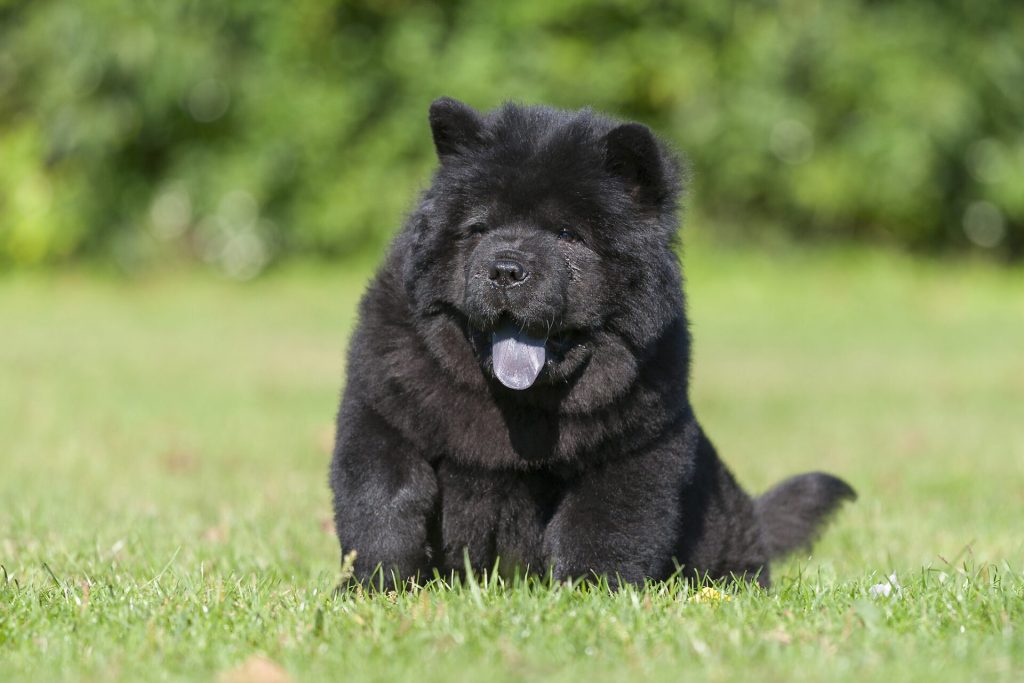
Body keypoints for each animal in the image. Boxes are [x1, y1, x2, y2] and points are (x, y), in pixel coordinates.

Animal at [329, 98, 856, 589]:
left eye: (567, 235)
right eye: (478, 229)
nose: (505, 269)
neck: (518, 406)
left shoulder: (634, 448)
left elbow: (599, 527)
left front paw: (589, 595)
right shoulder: (380, 412)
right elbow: (385, 501)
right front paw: (378, 586)